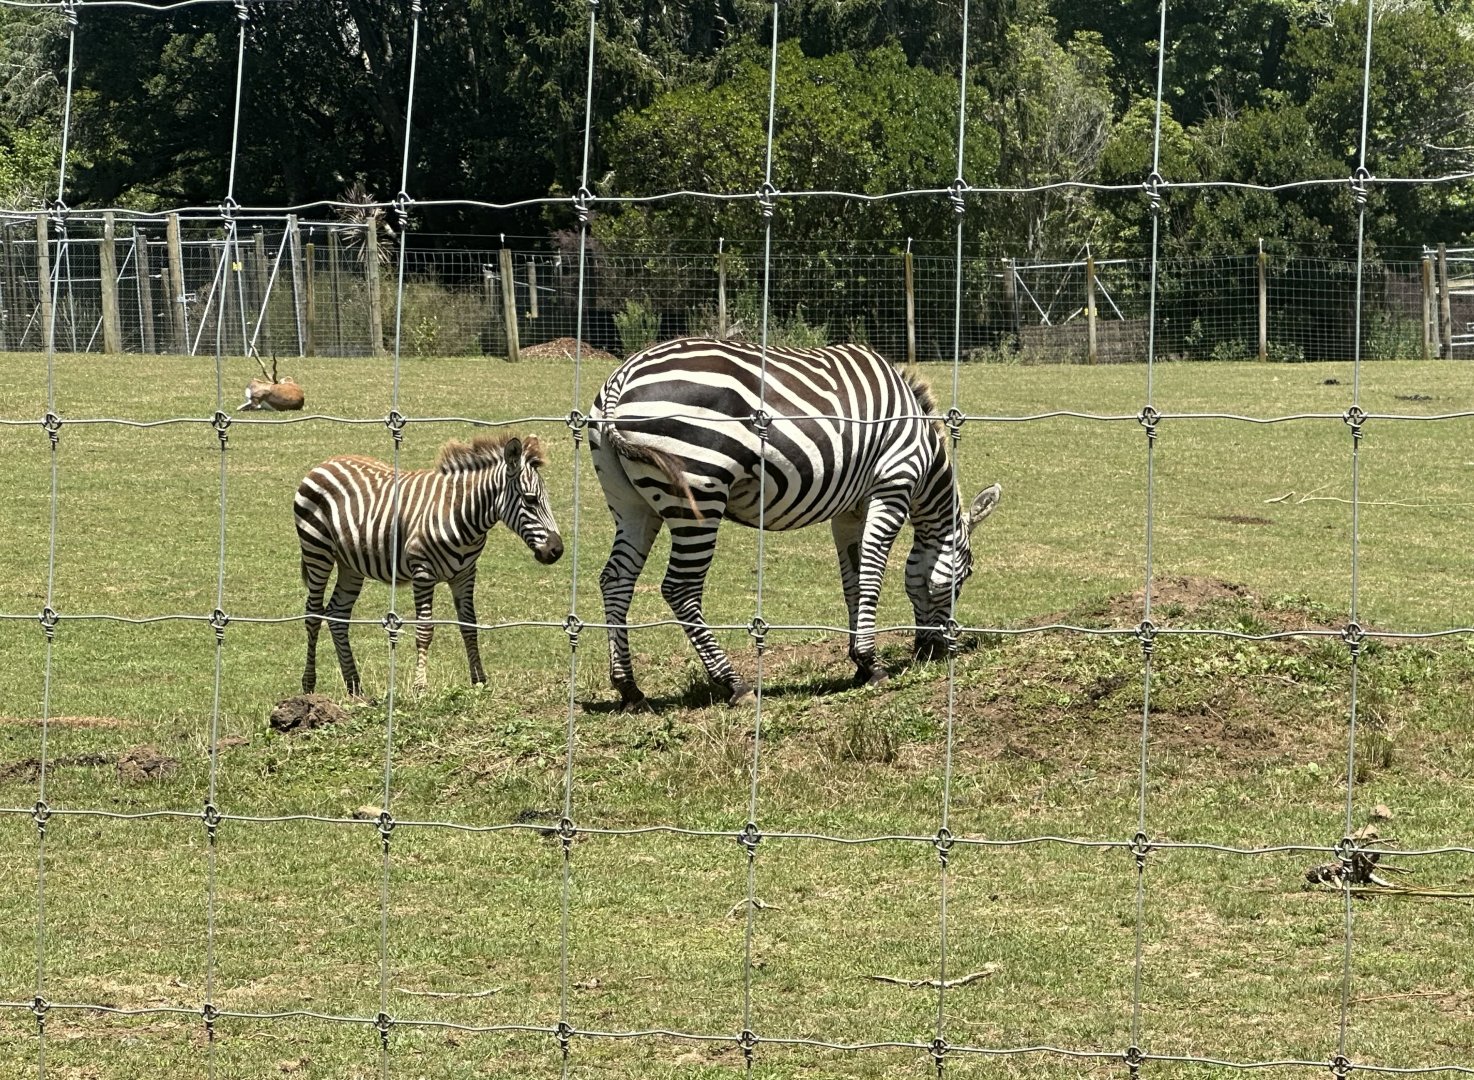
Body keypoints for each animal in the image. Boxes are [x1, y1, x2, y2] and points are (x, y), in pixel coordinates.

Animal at [294, 433, 563, 698]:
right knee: (313, 613)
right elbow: (425, 630)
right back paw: (309, 685)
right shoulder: (422, 571)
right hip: (317, 550)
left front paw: (479, 682)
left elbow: (469, 625)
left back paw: (354, 687)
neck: (461, 512)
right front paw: (420, 688)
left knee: (337, 614)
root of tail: (326, 462)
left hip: (350, 564)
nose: (557, 551)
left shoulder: (465, 574)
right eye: (530, 500)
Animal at [588, 337, 1001, 710]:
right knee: (680, 589)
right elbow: (871, 574)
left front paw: (859, 664)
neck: (925, 462)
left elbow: (852, 581)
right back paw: (734, 683)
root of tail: (623, 375)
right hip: (699, 491)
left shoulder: (848, 510)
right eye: (965, 577)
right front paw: (873, 662)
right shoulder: (892, 484)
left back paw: (629, 688)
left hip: (632, 504)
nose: (935, 653)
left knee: (615, 579)